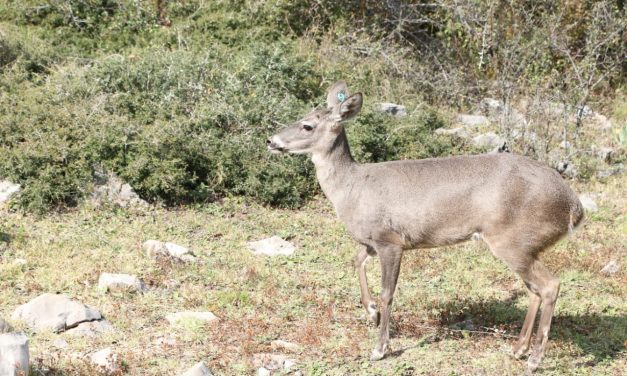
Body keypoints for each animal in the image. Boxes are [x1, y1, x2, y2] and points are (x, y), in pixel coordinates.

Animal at [264, 81, 584, 372]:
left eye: (307, 125)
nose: (270, 140)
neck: (352, 188)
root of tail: (574, 206)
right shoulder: (371, 241)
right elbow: (355, 261)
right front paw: (370, 312)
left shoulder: (391, 240)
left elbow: (387, 293)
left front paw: (380, 348)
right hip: (526, 245)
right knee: (534, 290)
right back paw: (518, 350)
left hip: (512, 240)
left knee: (550, 285)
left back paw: (534, 359)